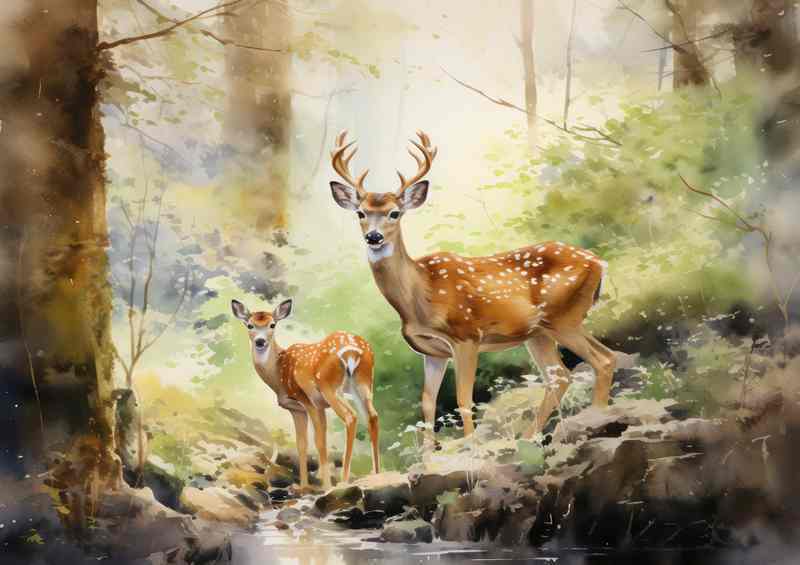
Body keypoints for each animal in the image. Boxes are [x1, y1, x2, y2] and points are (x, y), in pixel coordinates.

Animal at [231, 298, 380, 490]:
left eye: (272, 324)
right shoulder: (310, 407)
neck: (278, 374)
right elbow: (303, 443)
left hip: (329, 386)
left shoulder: (306, 401)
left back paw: (344, 480)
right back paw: (377, 473)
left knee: (350, 416)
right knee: (372, 416)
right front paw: (303, 486)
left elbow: (317, 441)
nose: (260, 341)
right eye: (250, 325)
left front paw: (324, 486)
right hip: (364, 383)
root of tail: (352, 351)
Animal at [328, 131, 617, 445]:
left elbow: (463, 398)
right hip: (540, 332)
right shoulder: (432, 351)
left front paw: (471, 444)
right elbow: (427, 401)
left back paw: (596, 419)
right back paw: (529, 437)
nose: (374, 236)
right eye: (360, 213)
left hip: (563, 318)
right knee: (561, 375)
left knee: (602, 360)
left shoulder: (466, 336)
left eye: (394, 213)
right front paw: (429, 451)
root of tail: (600, 263)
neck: (419, 295)